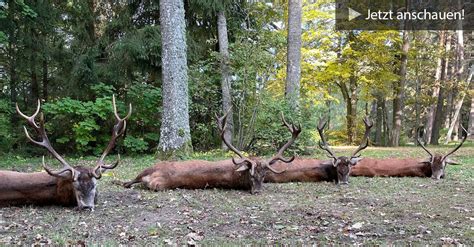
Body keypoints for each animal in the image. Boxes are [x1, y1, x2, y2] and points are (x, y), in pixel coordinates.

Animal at [122, 111, 300, 194]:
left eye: (264, 176)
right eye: (251, 175)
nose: (256, 191)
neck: (237, 175)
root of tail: (149, 178)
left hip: (154, 173)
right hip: (151, 167)